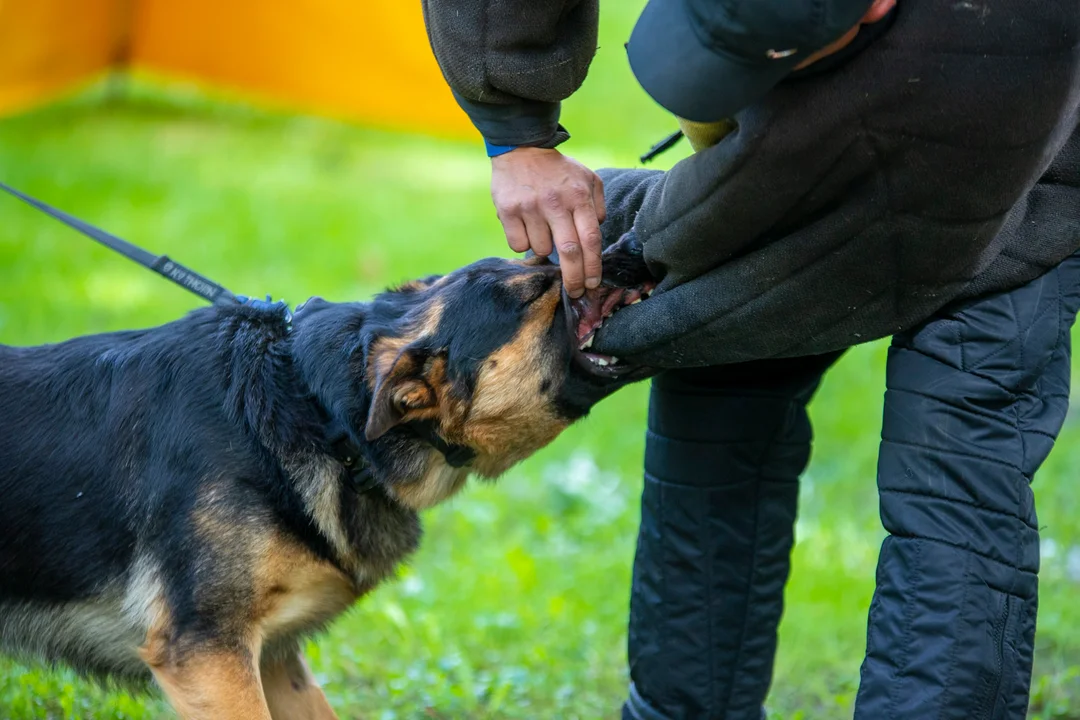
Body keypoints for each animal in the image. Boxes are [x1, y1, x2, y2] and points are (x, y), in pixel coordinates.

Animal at [0, 234, 648, 716]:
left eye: (538, 260)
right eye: (537, 288)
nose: (632, 243)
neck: (317, 411)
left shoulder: (274, 658)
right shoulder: (207, 655)